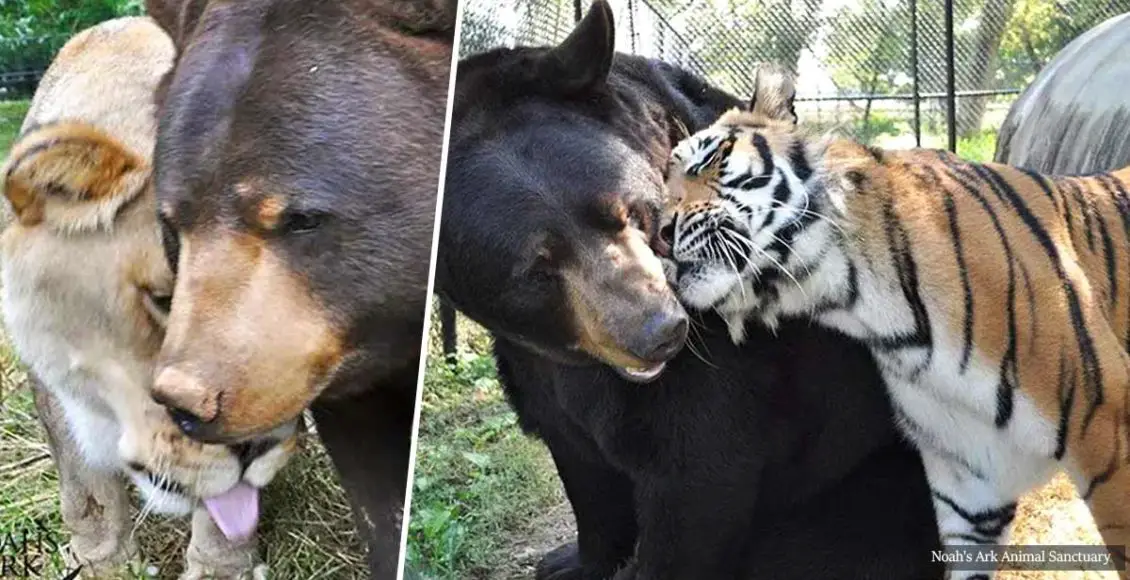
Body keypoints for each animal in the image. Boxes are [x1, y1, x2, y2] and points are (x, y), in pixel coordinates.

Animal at [0, 15, 298, 576]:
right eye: (164, 298)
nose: (257, 444)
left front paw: (223, 566)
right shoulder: (52, 384)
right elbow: (87, 492)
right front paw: (105, 563)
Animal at [440, 1, 944, 578]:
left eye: (633, 213)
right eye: (536, 269)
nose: (661, 332)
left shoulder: (733, 365)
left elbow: (696, 476)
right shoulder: (534, 364)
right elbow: (578, 461)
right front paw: (572, 560)